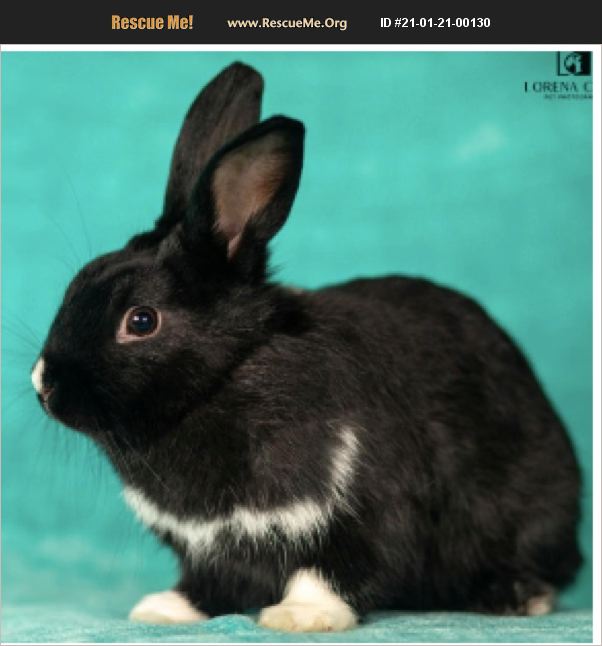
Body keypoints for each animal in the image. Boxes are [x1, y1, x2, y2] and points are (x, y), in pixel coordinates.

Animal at [31, 62, 582, 632]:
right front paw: (164, 609)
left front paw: (298, 617)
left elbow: (331, 572)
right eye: (78, 281)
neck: (227, 378)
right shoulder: (210, 545)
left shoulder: (365, 512)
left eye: (141, 320)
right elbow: (213, 582)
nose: (44, 387)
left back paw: (516, 596)